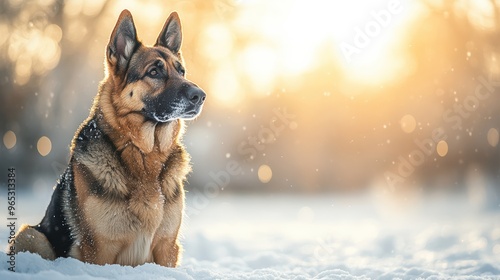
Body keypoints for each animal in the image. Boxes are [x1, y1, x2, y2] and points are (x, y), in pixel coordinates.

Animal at [9, 9, 205, 266]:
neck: (144, 154)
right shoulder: (99, 250)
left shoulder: (167, 248)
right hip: (31, 234)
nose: (200, 95)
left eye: (181, 71)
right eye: (154, 72)